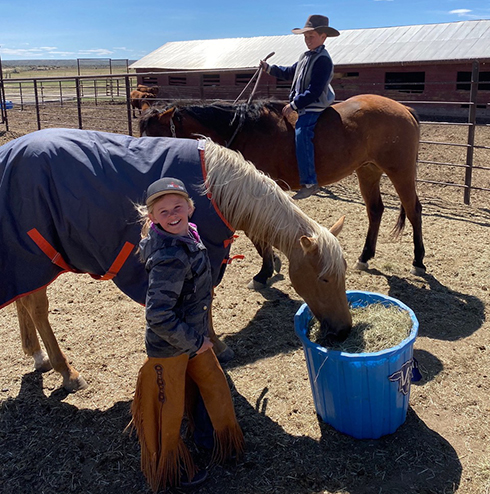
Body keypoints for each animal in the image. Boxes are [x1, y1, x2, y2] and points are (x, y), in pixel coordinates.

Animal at [0, 129, 352, 392]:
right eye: (324, 278)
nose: (344, 330)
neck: (217, 190)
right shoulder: (205, 254)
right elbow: (205, 302)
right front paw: (216, 347)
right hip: (37, 256)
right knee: (37, 308)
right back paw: (66, 371)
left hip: (26, 259)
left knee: (23, 300)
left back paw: (38, 355)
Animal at [140, 94, 426, 286]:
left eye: (157, 137)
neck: (245, 130)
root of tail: (404, 108)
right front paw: (272, 264)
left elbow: (258, 231)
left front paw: (264, 272)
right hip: (368, 171)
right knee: (375, 210)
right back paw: (365, 257)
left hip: (399, 171)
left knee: (413, 210)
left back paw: (418, 261)